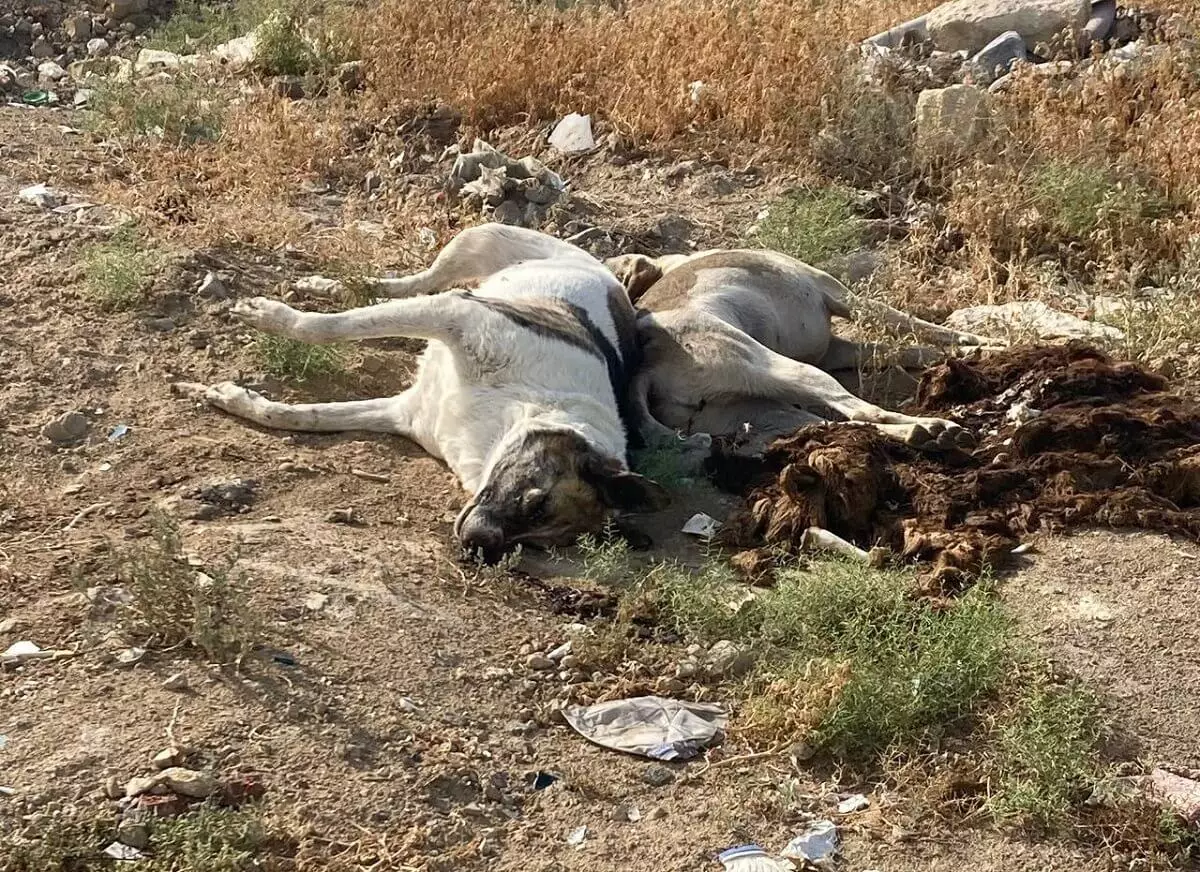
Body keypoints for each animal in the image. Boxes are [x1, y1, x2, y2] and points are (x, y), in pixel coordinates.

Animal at [180, 225, 667, 563]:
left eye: (538, 546)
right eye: (535, 502)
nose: (477, 552)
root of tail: (608, 272)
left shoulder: (403, 413)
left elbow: (301, 416)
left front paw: (234, 399)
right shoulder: (456, 314)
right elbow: (325, 326)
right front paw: (273, 317)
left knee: (391, 288)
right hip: (476, 241)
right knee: (406, 284)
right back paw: (323, 286)